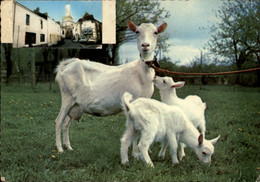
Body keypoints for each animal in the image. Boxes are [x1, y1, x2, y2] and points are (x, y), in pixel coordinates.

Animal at [55, 20, 168, 153]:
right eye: (137, 32)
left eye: (155, 32)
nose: (145, 45)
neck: (142, 73)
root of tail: (67, 65)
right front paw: (135, 152)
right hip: (67, 97)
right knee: (59, 121)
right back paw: (60, 148)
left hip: (75, 104)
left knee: (66, 124)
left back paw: (68, 147)